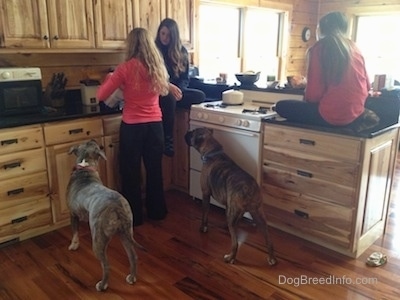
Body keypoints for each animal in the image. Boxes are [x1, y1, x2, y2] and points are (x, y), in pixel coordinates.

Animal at [67, 139, 144, 292]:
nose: (93, 139)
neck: (85, 166)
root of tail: (116, 207)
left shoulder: (72, 214)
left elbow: (75, 232)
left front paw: (73, 245)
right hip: (125, 233)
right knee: (133, 256)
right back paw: (131, 278)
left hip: (98, 239)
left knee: (106, 265)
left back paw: (102, 285)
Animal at [184, 126, 276, 264]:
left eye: (192, 133)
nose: (187, 132)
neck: (212, 152)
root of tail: (251, 189)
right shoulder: (228, 203)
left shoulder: (205, 193)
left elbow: (205, 213)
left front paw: (203, 228)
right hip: (258, 215)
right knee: (268, 239)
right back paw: (271, 258)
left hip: (236, 216)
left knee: (235, 243)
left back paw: (230, 257)